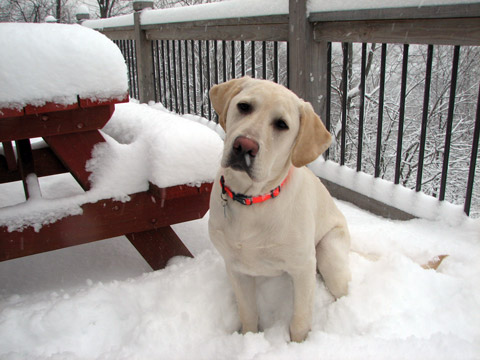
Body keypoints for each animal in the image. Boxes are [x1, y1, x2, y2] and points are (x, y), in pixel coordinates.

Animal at [208, 77, 350, 342]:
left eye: (282, 125)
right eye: (244, 106)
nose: (244, 146)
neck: (252, 199)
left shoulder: (302, 267)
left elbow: (300, 319)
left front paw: (298, 344)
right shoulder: (236, 267)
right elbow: (248, 311)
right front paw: (249, 337)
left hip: (329, 253)